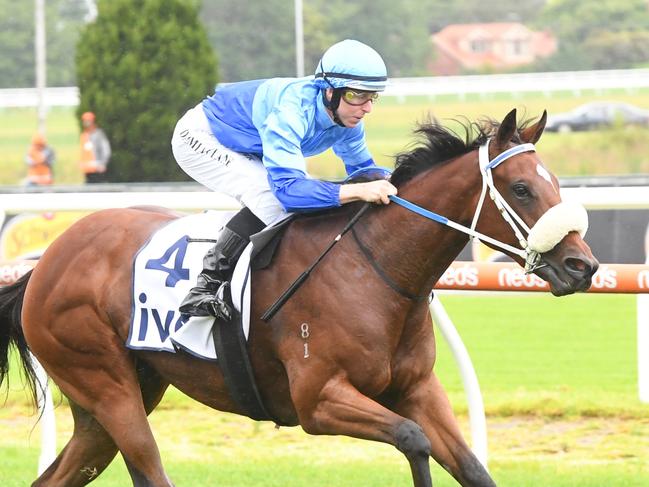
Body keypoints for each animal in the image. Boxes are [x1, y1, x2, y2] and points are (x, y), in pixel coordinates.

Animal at [0, 108, 596, 486]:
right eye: (521, 188)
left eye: (556, 183)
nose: (583, 266)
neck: (373, 268)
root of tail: (46, 262)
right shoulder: (318, 400)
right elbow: (414, 441)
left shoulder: (417, 389)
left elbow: (470, 466)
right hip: (106, 384)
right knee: (146, 463)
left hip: (110, 402)